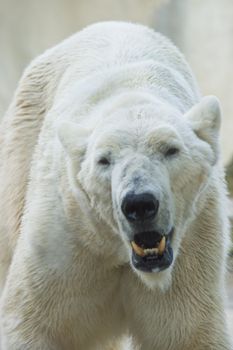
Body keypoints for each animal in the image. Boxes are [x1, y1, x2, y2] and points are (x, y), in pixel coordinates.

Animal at [0, 21, 231, 350]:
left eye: (170, 150)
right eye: (104, 160)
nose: (139, 203)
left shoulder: (193, 248)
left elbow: (187, 332)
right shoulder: (66, 238)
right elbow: (36, 320)